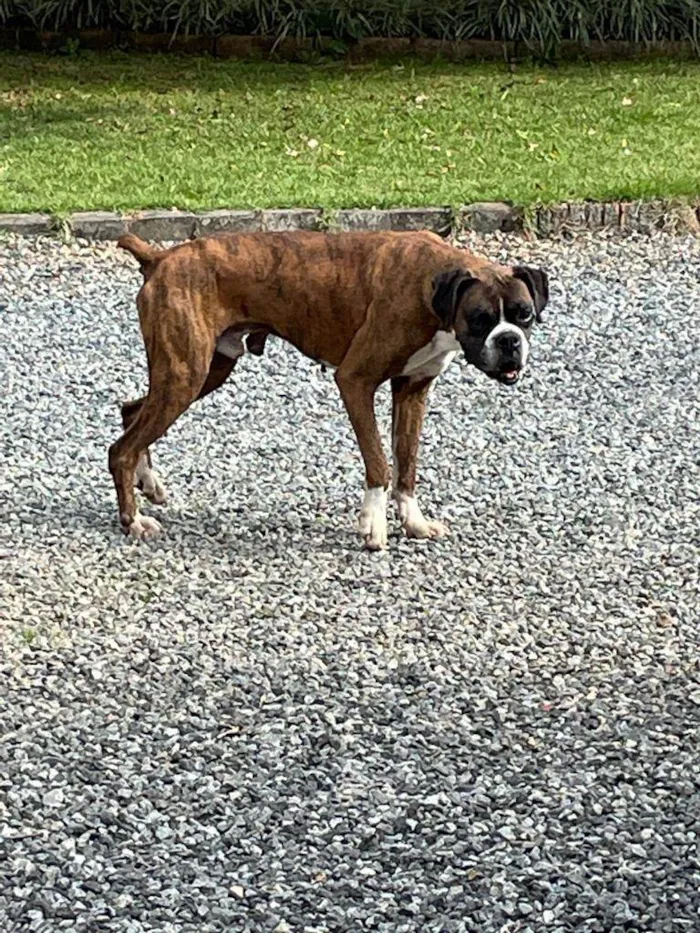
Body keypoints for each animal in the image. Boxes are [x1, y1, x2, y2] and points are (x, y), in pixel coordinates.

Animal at [110, 230, 548, 548]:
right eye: (479, 318)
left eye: (525, 315)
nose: (509, 341)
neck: (432, 287)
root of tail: (161, 258)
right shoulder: (355, 382)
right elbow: (379, 462)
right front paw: (373, 527)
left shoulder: (413, 389)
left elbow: (407, 463)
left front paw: (414, 522)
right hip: (185, 374)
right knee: (121, 449)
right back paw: (133, 521)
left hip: (205, 370)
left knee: (130, 411)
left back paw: (148, 484)